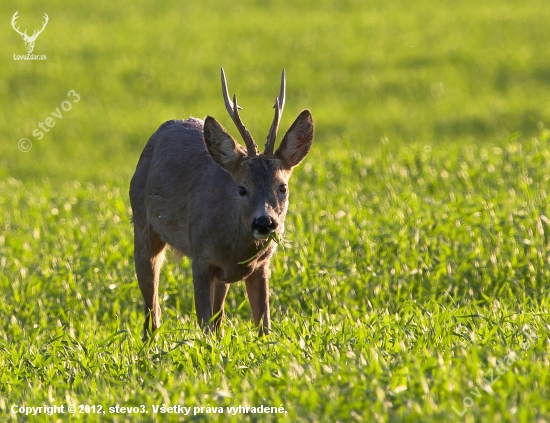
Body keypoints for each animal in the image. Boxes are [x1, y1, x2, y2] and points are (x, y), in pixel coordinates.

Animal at [129, 69, 314, 342]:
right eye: (242, 188)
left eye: (282, 187)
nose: (265, 222)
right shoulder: (201, 257)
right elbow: (204, 323)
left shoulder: (261, 265)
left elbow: (263, 325)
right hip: (143, 227)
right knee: (151, 307)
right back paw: (149, 341)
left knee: (218, 318)